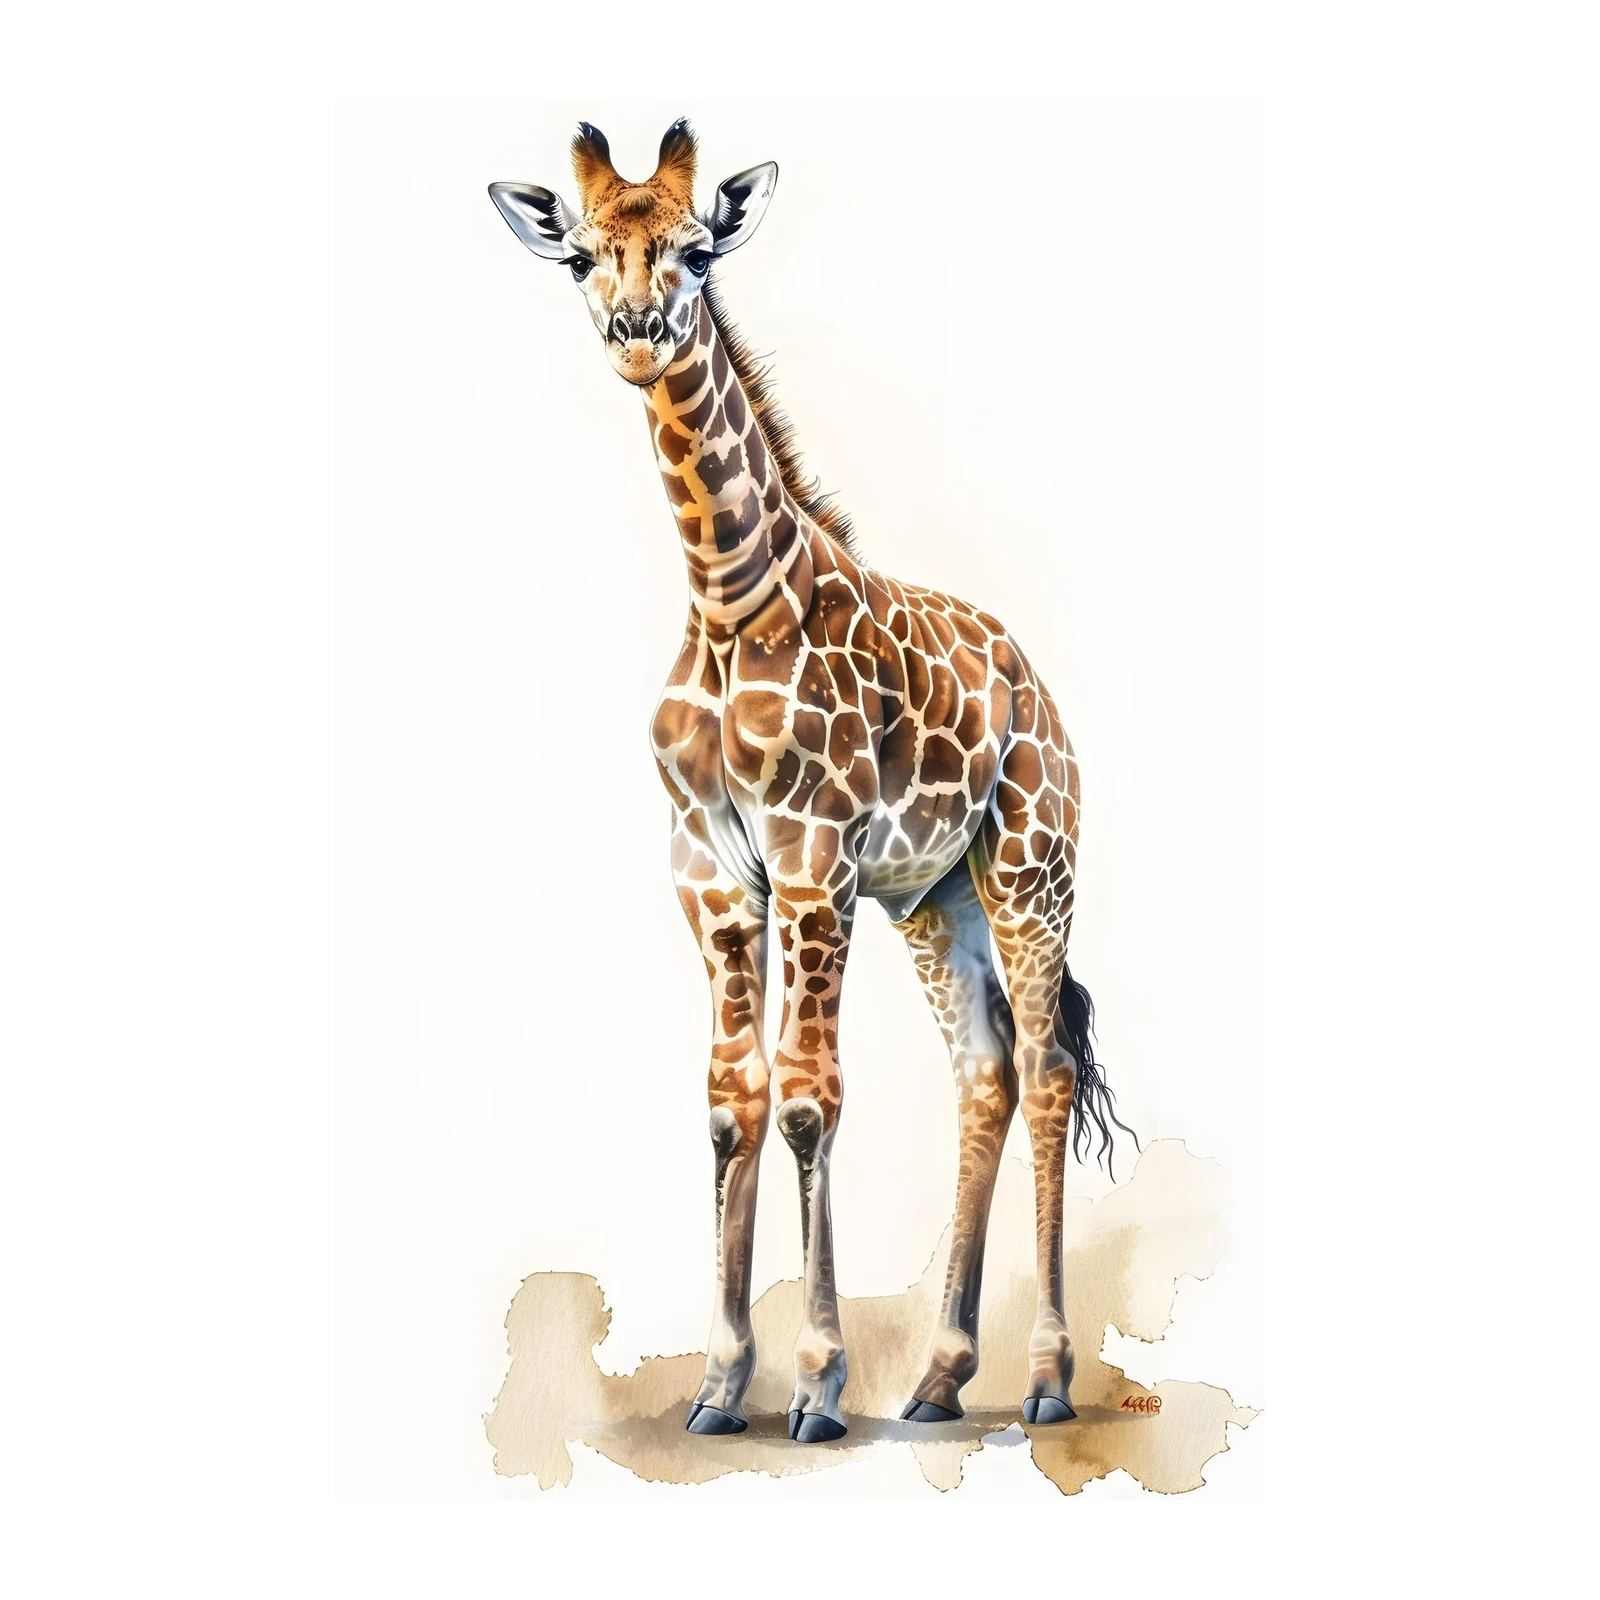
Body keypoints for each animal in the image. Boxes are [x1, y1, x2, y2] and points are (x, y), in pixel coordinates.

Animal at [490, 119, 1134, 1443]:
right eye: (580, 257)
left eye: (694, 249)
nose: (637, 330)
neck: (730, 600)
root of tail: (1034, 685)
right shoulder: (713, 873)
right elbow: (728, 1097)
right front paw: (721, 1384)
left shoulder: (811, 856)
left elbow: (805, 1098)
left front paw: (819, 1383)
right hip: (935, 900)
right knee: (983, 1075)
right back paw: (940, 1377)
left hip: (1030, 865)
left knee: (1046, 1069)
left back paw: (1045, 1377)